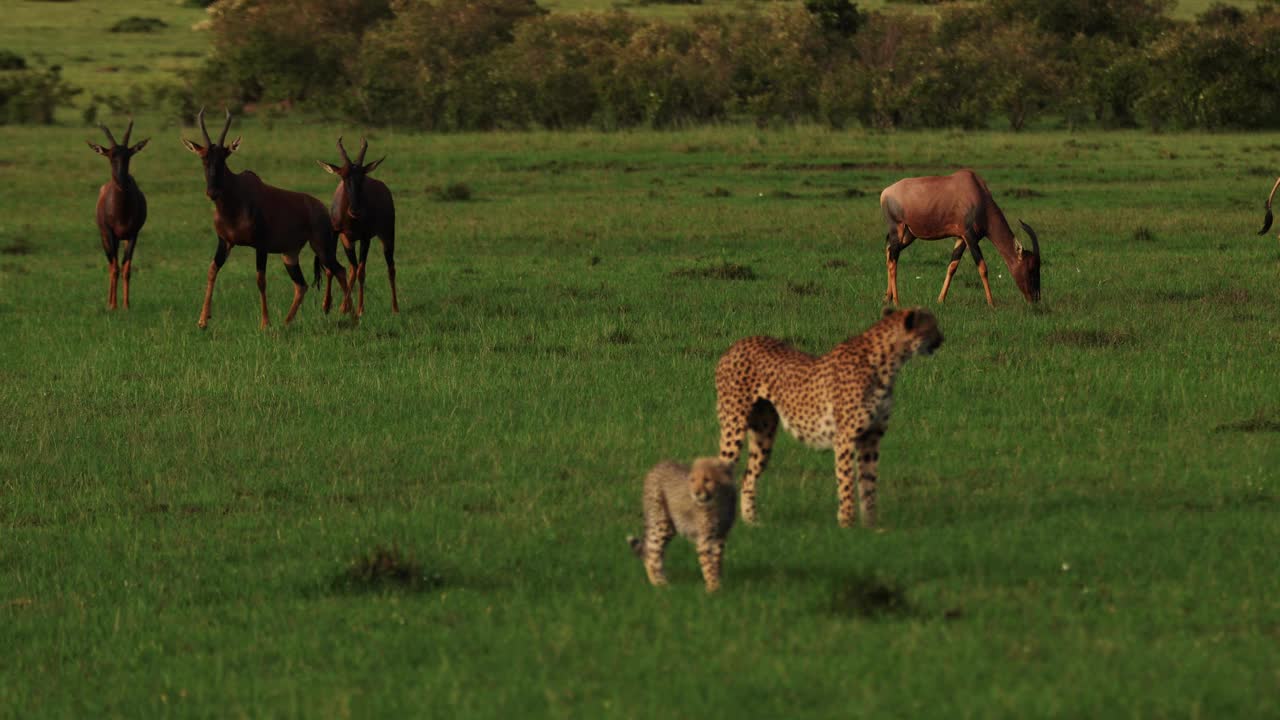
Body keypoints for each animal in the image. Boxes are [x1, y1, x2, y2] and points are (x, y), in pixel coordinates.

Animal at [88, 118, 148, 308]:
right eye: (110, 156)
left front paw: (126, 306)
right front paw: (113, 306)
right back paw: (109, 302)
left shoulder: (133, 235)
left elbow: (127, 268)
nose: (122, 180)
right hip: (105, 238)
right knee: (110, 265)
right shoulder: (110, 233)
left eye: (129, 155)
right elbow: (115, 268)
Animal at [179, 106, 350, 327]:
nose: (212, 192)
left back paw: (350, 313)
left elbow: (261, 280)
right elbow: (212, 270)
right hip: (290, 255)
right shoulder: (225, 242)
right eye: (203, 159)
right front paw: (202, 321)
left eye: (224, 158)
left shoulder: (260, 245)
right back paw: (286, 322)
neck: (237, 198)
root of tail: (321, 208)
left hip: (322, 248)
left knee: (340, 270)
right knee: (302, 285)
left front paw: (265, 323)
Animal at [314, 135, 394, 313]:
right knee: (352, 268)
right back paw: (344, 307)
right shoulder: (336, 234)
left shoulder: (365, 238)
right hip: (348, 241)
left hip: (387, 234)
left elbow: (362, 272)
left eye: (362, 176)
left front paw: (360, 310)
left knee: (390, 267)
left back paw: (395, 308)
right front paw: (326, 306)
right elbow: (331, 268)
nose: (355, 210)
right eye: (343, 176)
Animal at [716, 304, 947, 525]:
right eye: (932, 326)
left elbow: (868, 484)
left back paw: (752, 522)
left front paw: (871, 526)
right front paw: (847, 523)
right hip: (734, 425)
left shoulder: (871, 438)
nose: (943, 338)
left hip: (763, 435)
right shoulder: (845, 438)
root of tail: (736, 345)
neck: (887, 362)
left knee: (748, 477)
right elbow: (846, 481)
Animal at [880, 169, 1039, 304]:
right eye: (1031, 267)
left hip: (909, 235)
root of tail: (885, 193)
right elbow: (983, 268)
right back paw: (897, 302)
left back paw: (887, 298)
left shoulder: (961, 238)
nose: (1035, 299)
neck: (976, 191)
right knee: (893, 261)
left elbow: (952, 266)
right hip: (897, 229)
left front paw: (940, 300)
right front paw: (991, 303)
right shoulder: (970, 237)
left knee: (889, 252)